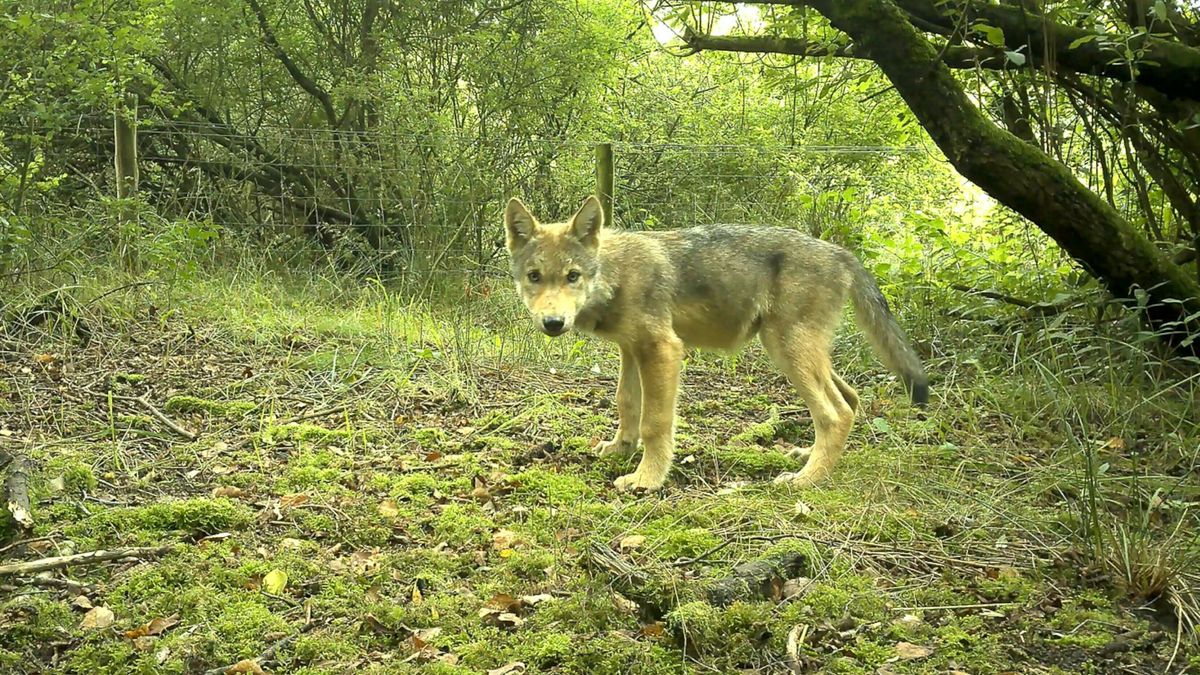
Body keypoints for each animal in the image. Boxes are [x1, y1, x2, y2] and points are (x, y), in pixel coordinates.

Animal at [503, 195, 928, 492]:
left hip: (786, 350)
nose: (553, 323)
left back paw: (805, 480)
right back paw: (808, 457)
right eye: (534, 276)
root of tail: (841, 253)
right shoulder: (631, 349)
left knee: (835, 413)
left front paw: (647, 479)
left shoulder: (663, 350)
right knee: (850, 400)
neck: (615, 274)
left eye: (572, 276)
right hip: (800, 353)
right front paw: (619, 450)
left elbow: (655, 423)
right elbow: (626, 405)